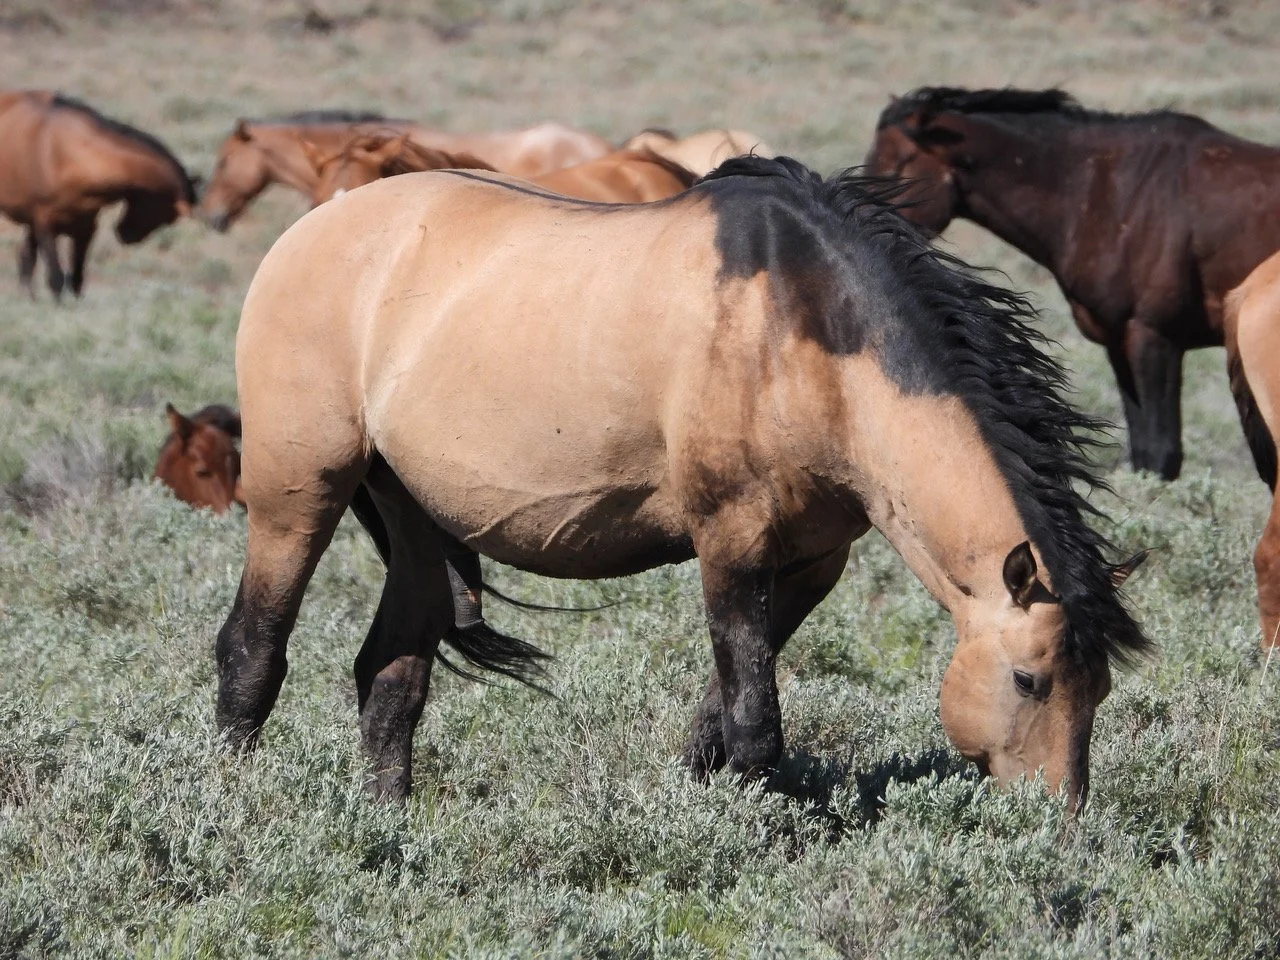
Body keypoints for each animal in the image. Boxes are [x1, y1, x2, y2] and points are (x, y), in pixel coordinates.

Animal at [0, 91, 196, 299]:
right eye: (168, 217)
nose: (125, 235)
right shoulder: (46, 226)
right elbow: (56, 280)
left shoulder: (85, 228)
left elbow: (76, 281)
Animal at [215, 156, 1150, 809]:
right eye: (1030, 681)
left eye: (1100, 687)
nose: (1060, 823)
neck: (801, 333)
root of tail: (310, 228)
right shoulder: (729, 544)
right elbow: (755, 725)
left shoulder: (808, 565)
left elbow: (718, 720)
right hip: (298, 492)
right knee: (252, 651)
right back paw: (230, 811)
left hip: (411, 514)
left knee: (391, 678)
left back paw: (385, 825)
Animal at [865, 86, 1280, 481]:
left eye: (897, 164)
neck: (1110, 192)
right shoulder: (1119, 344)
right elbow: (1144, 454)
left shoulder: (1155, 340)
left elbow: (1162, 455)